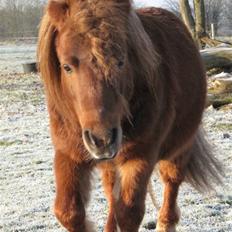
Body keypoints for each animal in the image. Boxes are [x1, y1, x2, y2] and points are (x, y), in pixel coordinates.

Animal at [37, 0, 222, 231]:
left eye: (121, 62)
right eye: (66, 67)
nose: (102, 140)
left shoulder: (140, 157)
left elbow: (128, 213)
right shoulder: (68, 153)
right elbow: (68, 212)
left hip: (179, 149)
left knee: (171, 185)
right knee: (111, 196)